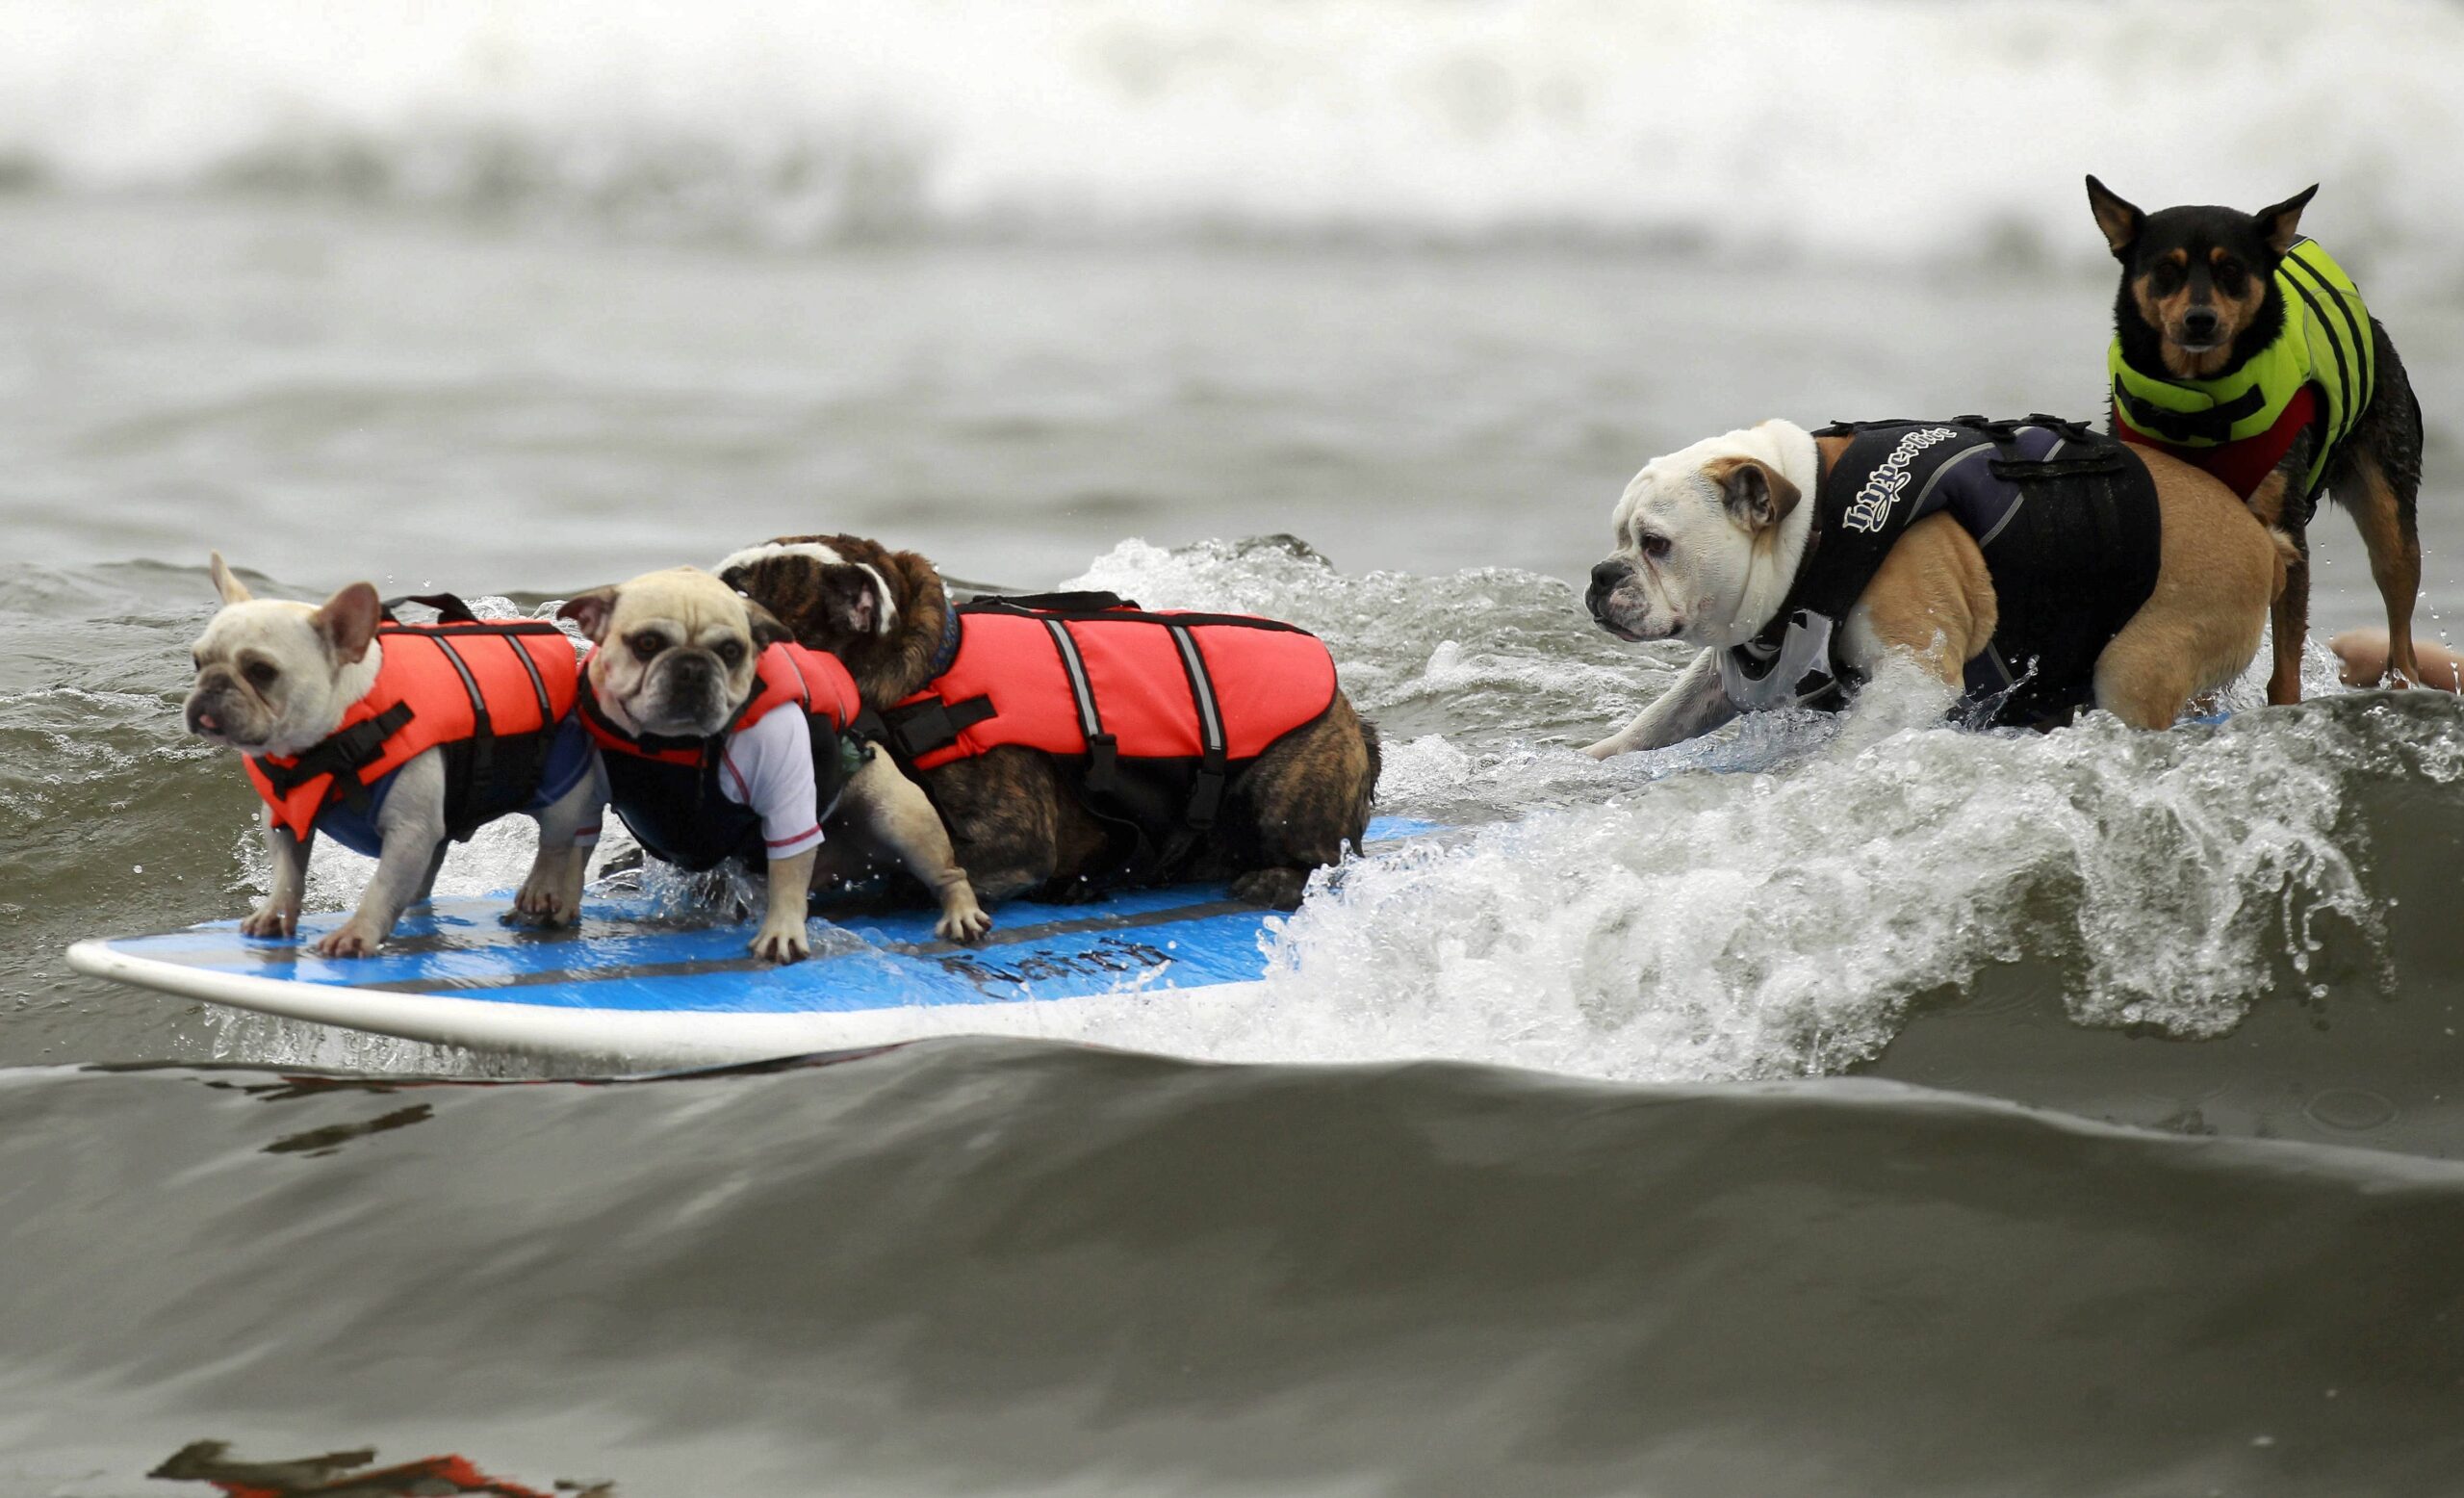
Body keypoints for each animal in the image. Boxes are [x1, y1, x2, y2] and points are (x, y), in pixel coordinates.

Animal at [714, 536, 1379, 911]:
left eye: (742, 594)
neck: (927, 673)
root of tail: (1353, 715)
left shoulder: (1012, 838)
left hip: (1284, 788)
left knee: (1317, 856)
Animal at [2089, 178, 2414, 704]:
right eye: (2166, 270)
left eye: (2232, 270)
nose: (2200, 319)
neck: (2200, 402)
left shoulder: (2286, 528)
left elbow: (2286, 662)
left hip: (2390, 504)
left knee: (2400, 623)